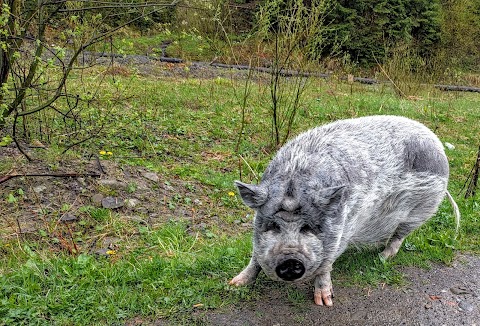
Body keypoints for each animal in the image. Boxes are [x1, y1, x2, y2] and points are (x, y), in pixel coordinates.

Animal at [231, 114, 460, 306]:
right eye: (272, 225)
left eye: (309, 228)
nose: (290, 260)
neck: (294, 178)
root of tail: (438, 145)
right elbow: (255, 257)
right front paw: (234, 284)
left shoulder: (340, 229)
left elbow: (325, 266)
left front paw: (325, 303)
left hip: (421, 210)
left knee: (399, 237)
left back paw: (382, 257)